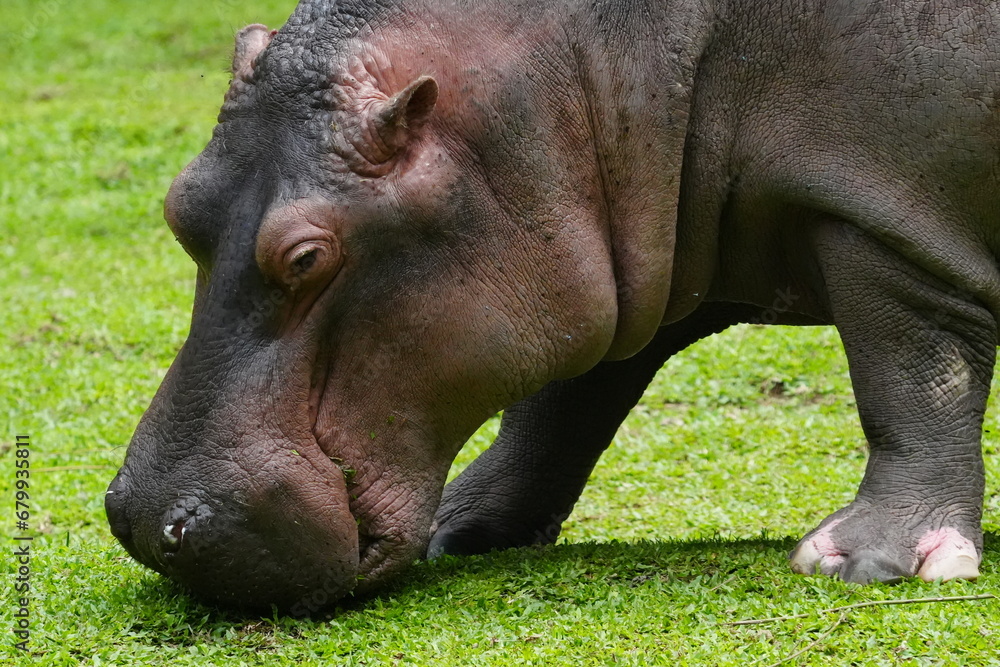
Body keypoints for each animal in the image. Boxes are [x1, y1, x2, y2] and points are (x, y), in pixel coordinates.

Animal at [106, 0, 1000, 612]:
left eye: (305, 257)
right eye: (178, 204)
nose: (149, 524)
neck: (577, 64)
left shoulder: (882, 213)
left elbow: (912, 375)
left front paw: (862, 561)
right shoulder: (617, 250)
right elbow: (561, 404)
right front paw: (457, 527)